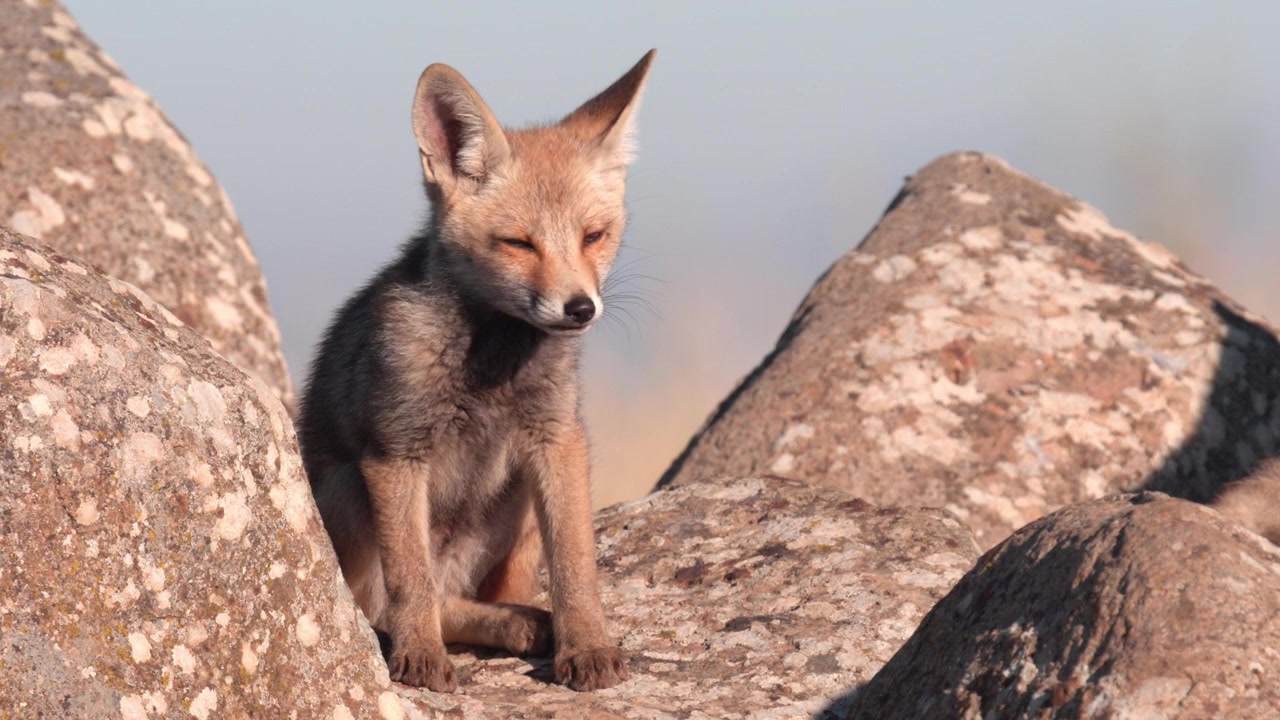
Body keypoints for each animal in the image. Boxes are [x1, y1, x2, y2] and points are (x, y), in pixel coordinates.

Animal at [296, 50, 656, 693]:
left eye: (594, 236)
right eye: (519, 244)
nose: (580, 308)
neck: (492, 373)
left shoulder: (558, 437)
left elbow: (577, 566)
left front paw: (587, 644)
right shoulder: (395, 452)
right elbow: (410, 585)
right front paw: (420, 658)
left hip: (518, 509)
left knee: (472, 597)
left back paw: (524, 623)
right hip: (346, 491)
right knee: (393, 605)